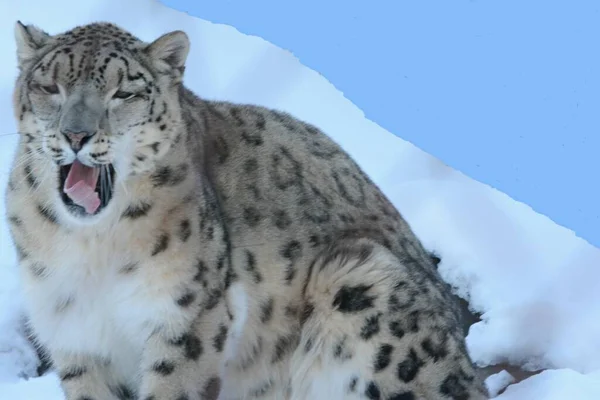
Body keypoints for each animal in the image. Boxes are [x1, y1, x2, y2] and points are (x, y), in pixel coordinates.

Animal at [4, 21, 488, 400]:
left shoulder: (186, 317)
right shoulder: (76, 336)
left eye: (123, 92)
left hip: (364, 282)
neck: (90, 249)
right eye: (50, 87)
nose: (76, 135)